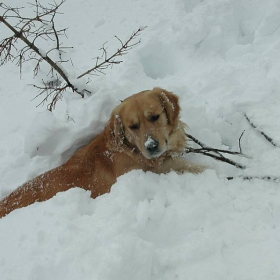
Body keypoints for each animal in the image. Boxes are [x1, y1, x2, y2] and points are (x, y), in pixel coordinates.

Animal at [0, 88, 202, 219]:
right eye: (133, 126)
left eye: (154, 117)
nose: (151, 146)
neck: (130, 149)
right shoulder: (160, 170)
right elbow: (199, 167)